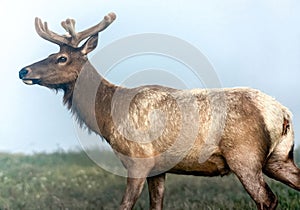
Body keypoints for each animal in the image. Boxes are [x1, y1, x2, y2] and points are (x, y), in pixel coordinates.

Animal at [19, 12, 300, 209]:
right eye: (52, 54)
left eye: (62, 58)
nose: (23, 70)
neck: (107, 116)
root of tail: (282, 112)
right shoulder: (159, 168)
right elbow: (156, 205)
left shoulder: (138, 159)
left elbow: (125, 205)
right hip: (280, 158)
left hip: (244, 156)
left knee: (267, 199)